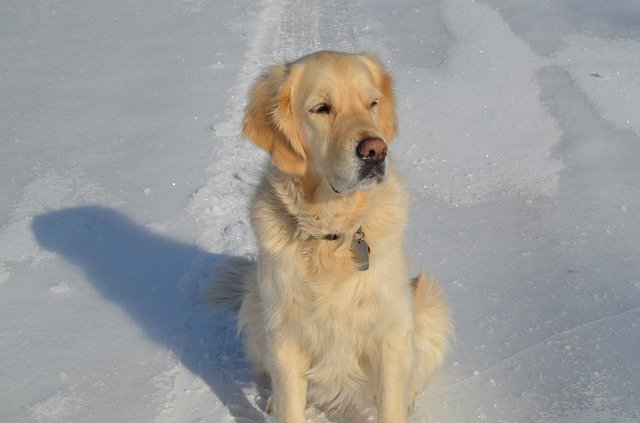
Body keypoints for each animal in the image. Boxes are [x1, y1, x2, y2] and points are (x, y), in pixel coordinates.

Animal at [210, 51, 450, 422]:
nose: (376, 150)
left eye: (371, 103)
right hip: (255, 303)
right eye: (322, 108)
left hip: (428, 303)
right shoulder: (286, 336)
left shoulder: (390, 331)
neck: (333, 233)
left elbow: (391, 404)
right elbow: (291, 406)